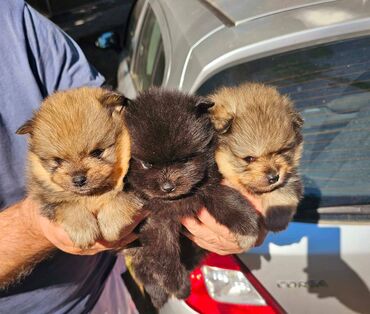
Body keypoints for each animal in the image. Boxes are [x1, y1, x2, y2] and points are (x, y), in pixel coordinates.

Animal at [17, 87, 142, 249]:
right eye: (58, 161)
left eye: (96, 152)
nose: (78, 180)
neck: (93, 194)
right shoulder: (45, 198)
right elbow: (67, 205)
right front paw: (83, 229)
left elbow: (122, 196)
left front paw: (111, 223)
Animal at [124, 87, 260, 308]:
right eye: (147, 164)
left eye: (185, 160)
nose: (168, 187)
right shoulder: (155, 224)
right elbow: (164, 256)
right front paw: (177, 285)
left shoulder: (208, 185)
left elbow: (224, 197)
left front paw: (247, 225)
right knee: (144, 271)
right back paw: (158, 296)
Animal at [210, 82, 304, 232]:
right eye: (249, 158)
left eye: (281, 151)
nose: (274, 177)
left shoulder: (290, 172)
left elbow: (284, 188)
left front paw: (277, 217)